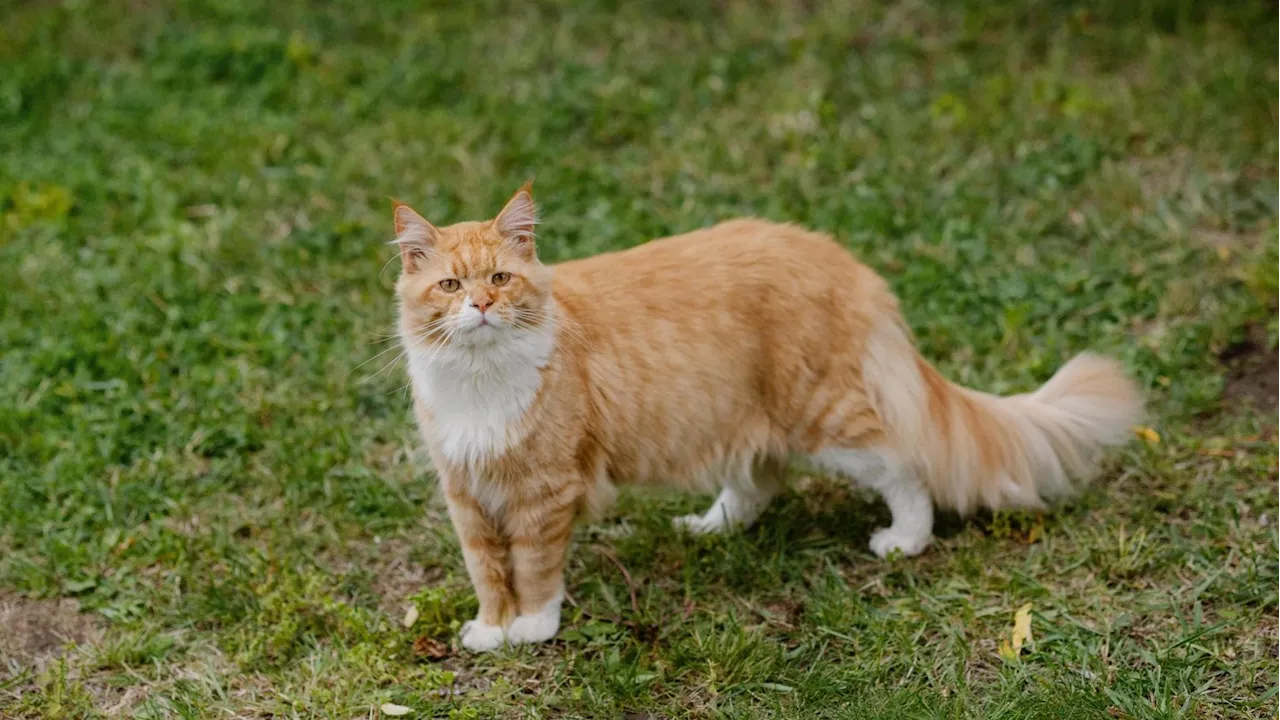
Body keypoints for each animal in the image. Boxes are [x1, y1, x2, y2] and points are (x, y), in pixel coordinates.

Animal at [389, 180, 1141, 650]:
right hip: (734, 416)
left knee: (906, 470)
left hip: (828, 422)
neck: (479, 381)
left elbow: (536, 569)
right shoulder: (466, 493)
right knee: (759, 482)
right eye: (450, 285)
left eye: (500, 279)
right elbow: (489, 573)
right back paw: (707, 530)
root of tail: (840, 259)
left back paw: (903, 540)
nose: (480, 307)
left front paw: (533, 629)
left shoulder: (544, 491)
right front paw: (492, 630)